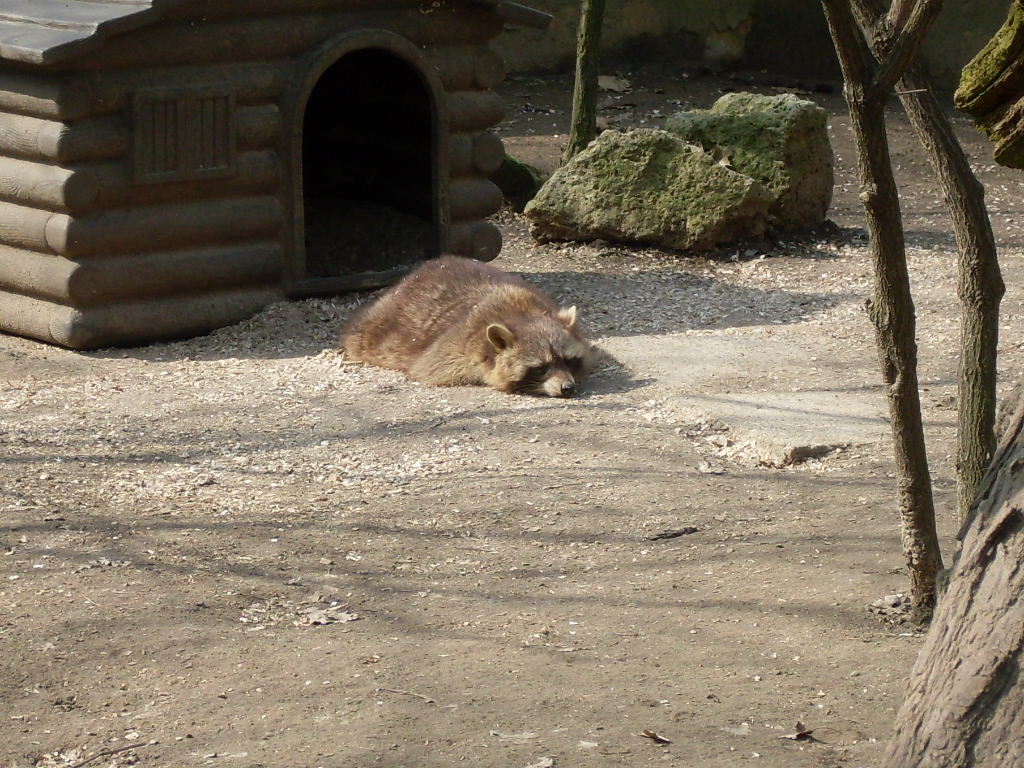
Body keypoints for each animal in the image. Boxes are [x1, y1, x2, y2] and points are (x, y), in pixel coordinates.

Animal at [342, 256, 593, 397]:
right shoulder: (455, 347)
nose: (567, 388)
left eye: (568, 361)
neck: (521, 314)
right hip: (379, 325)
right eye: (541, 368)